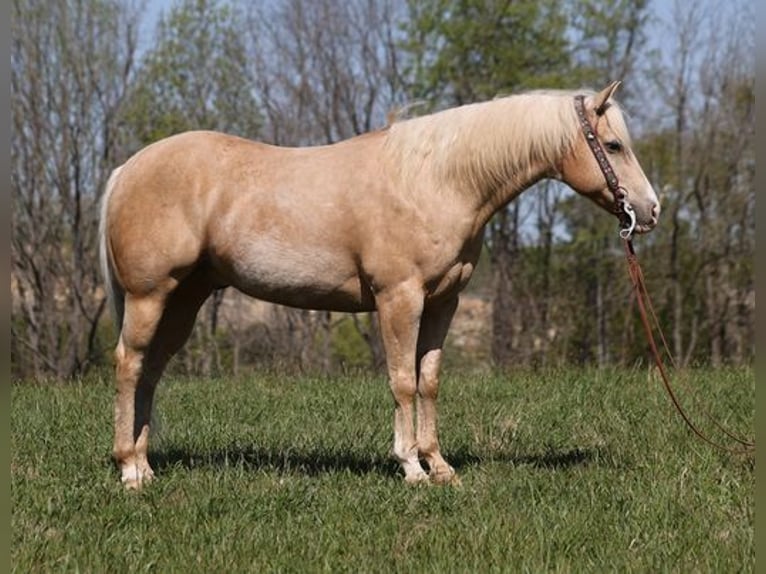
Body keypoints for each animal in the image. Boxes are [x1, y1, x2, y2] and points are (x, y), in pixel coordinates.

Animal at [97, 81, 660, 490]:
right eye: (613, 145)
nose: (650, 210)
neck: (435, 181)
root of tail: (128, 168)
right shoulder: (399, 298)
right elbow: (402, 380)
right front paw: (410, 468)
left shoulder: (443, 303)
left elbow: (429, 380)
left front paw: (440, 466)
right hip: (150, 296)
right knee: (129, 365)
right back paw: (129, 471)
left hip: (184, 299)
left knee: (150, 370)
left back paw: (145, 465)